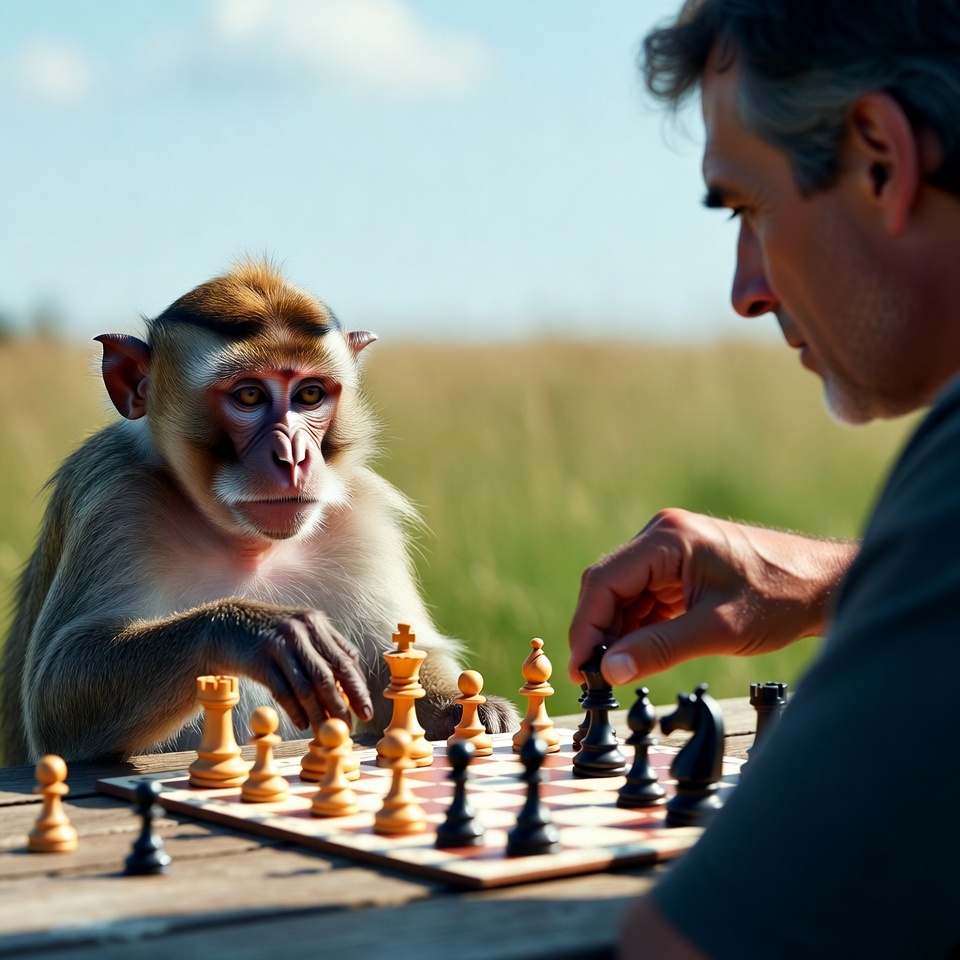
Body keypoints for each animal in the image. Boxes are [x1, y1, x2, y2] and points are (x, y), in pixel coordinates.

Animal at [0, 261, 519, 765]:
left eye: (309, 395)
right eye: (249, 396)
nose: (293, 457)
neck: (246, 543)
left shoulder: (361, 516)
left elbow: (397, 661)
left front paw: (465, 710)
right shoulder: (113, 499)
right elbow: (54, 690)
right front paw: (252, 629)